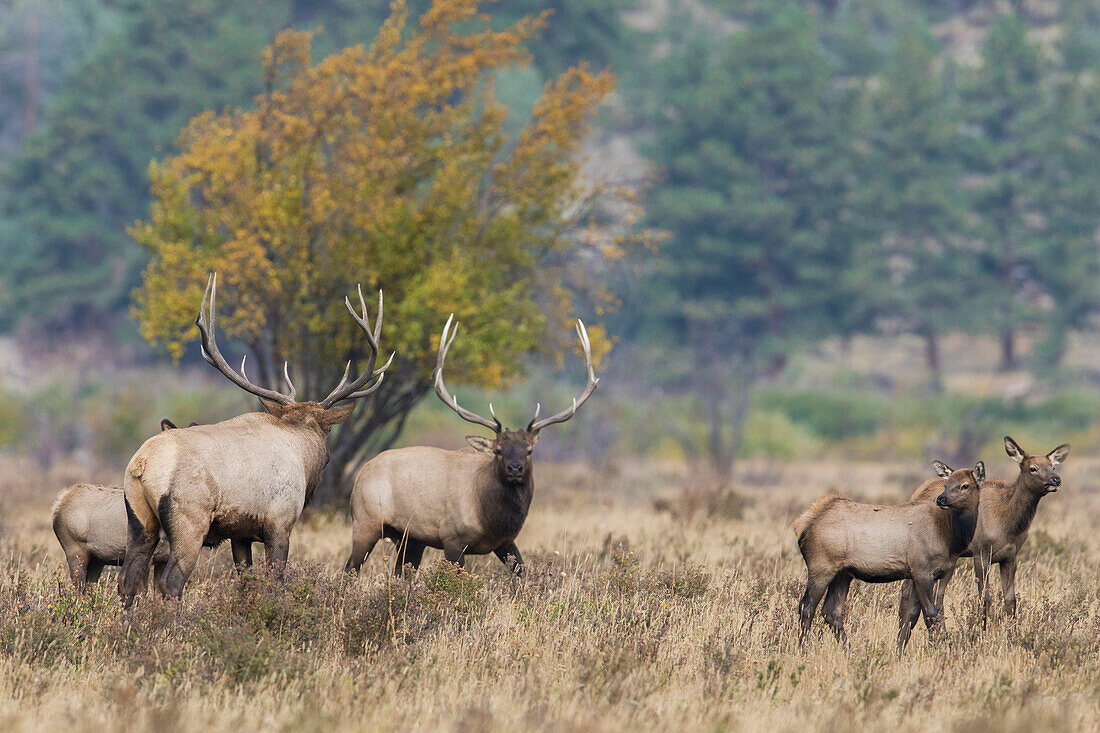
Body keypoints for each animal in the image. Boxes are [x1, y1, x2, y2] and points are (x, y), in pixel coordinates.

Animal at [118, 270, 393, 603]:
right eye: (328, 430)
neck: (303, 458)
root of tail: (141, 464)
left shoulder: (241, 534)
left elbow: (246, 581)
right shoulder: (280, 521)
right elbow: (276, 581)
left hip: (138, 518)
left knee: (127, 581)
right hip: (189, 519)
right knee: (170, 582)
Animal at [345, 314, 598, 576]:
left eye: (529, 450)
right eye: (498, 451)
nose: (515, 468)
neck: (492, 520)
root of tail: (361, 472)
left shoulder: (506, 542)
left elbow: (521, 572)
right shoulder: (452, 538)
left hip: (410, 538)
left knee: (399, 574)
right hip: (365, 522)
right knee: (349, 568)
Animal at [796, 460, 985, 651]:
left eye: (965, 485)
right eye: (946, 485)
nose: (941, 499)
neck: (950, 538)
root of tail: (804, 525)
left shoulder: (923, 573)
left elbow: (911, 615)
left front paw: (899, 651)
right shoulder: (921, 569)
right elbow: (930, 614)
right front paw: (938, 648)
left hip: (843, 573)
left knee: (831, 611)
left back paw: (849, 650)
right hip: (821, 566)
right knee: (806, 606)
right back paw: (803, 648)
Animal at [897, 431, 1069, 625]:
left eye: (1052, 467)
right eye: (1033, 468)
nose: (1055, 480)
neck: (1008, 525)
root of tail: (917, 491)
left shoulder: (1010, 556)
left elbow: (1010, 599)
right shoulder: (981, 551)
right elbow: (985, 597)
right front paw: (982, 628)